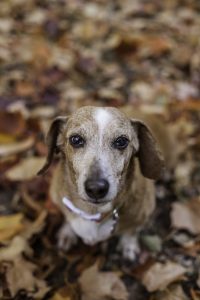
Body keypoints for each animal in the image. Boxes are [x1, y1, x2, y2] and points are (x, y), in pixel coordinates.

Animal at [38, 106, 171, 260]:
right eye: (75, 139)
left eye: (122, 141)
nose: (96, 188)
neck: (93, 212)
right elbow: (68, 217)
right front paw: (67, 232)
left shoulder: (143, 215)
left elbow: (131, 231)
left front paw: (129, 245)